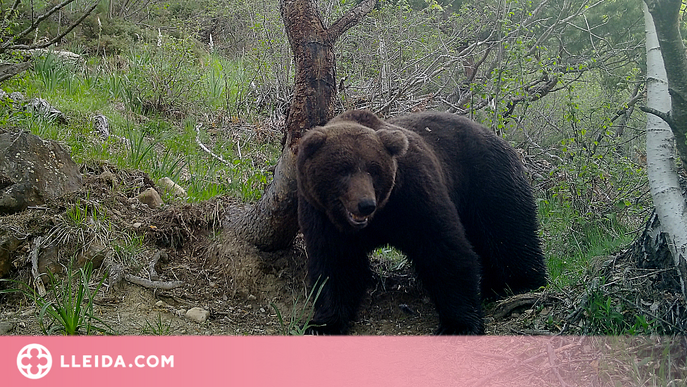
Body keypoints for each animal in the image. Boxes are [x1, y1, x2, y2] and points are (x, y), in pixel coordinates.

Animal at [296, 110, 548, 336]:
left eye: (373, 170)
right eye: (343, 170)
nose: (365, 204)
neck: (378, 218)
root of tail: (499, 138)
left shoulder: (413, 196)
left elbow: (443, 248)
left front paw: (458, 324)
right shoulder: (322, 215)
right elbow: (335, 264)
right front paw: (323, 324)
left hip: (488, 181)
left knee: (507, 232)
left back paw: (519, 284)